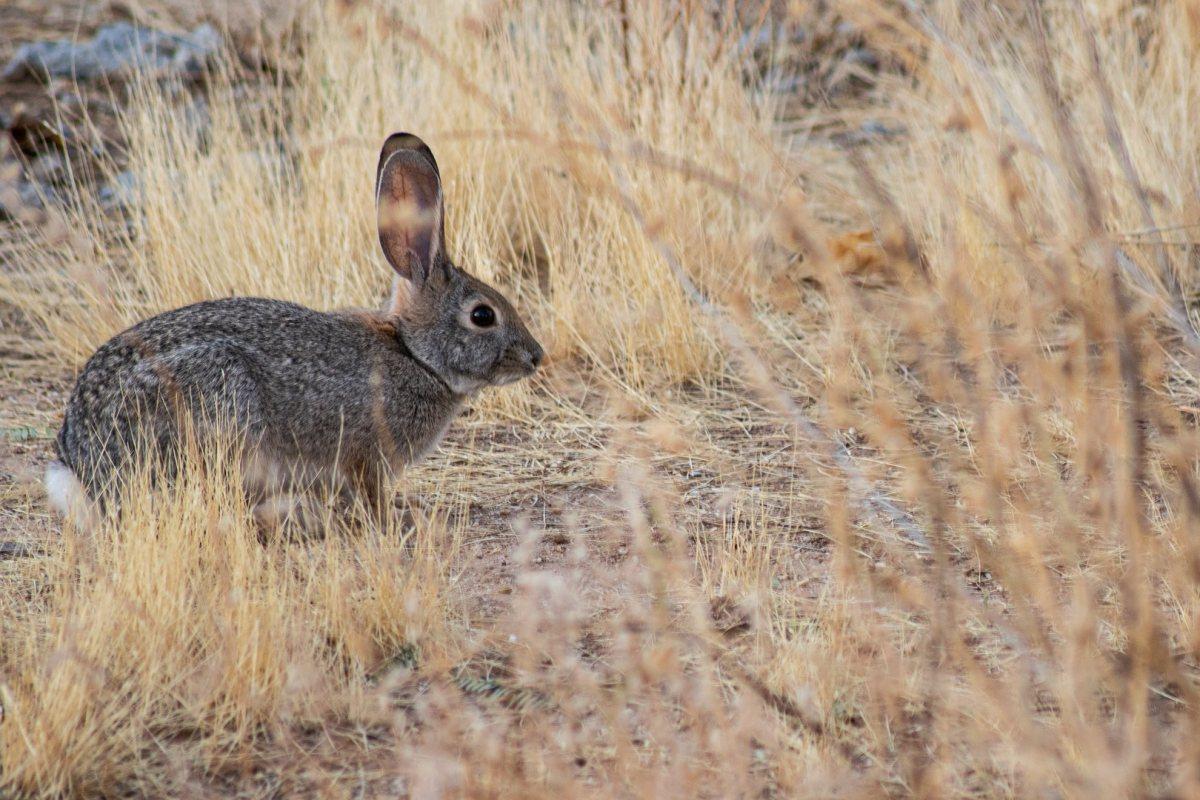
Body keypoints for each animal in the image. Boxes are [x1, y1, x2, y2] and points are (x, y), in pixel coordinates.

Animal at [45, 131, 544, 532]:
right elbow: (371, 497)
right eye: (483, 316)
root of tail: (81, 464)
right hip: (224, 408)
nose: (535, 356)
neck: (415, 355)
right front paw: (400, 521)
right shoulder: (365, 458)